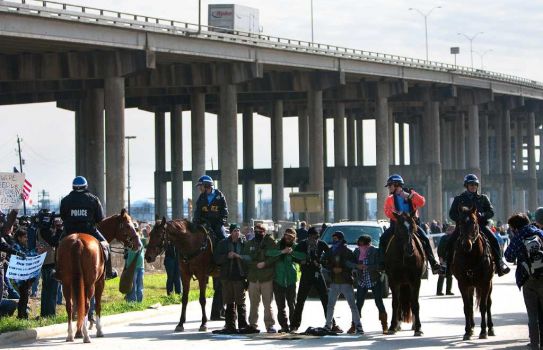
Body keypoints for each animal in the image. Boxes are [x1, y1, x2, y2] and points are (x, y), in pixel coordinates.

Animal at [56, 209, 141, 344]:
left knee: (70, 305)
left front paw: (78, 331)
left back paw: (70, 335)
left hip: (66, 282)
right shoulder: (100, 282)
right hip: (90, 283)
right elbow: (97, 305)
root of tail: (77, 241)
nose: (138, 243)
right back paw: (86, 336)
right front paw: (97, 329)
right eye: (128, 225)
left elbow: (77, 305)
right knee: (86, 304)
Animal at [450, 206, 498, 340]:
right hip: (471, 285)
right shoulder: (463, 284)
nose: (467, 245)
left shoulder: (485, 283)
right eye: (460, 223)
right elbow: (467, 307)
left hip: (488, 284)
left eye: (474, 223)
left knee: (488, 303)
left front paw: (483, 331)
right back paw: (471, 328)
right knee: (471, 304)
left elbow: (483, 307)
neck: (470, 257)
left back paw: (490, 328)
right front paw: (467, 331)